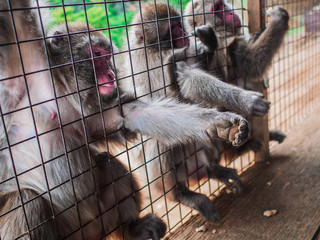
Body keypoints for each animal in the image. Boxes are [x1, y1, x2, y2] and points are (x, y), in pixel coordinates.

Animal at [0, 0, 250, 238]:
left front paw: (220, 123)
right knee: (26, 203)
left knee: (109, 164)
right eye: (97, 54)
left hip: (101, 219)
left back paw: (133, 227)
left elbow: (133, 114)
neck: (65, 91)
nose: (111, 74)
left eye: (108, 56)